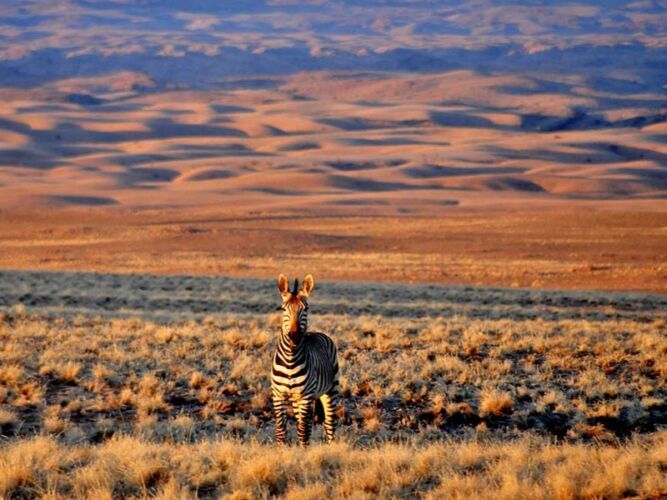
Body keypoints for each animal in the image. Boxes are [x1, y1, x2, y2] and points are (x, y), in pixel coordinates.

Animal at [271, 274, 339, 445]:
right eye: (283, 308)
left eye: (306, 309)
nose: (295, 336)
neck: (290, 359)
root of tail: (318, 333)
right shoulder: (278, 395)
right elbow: (281, 430)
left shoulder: (305, 396)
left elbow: (302, 431)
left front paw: (302, 450)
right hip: (299, 399)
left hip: (331, 389)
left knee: (329, 424)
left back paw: (331, 447)